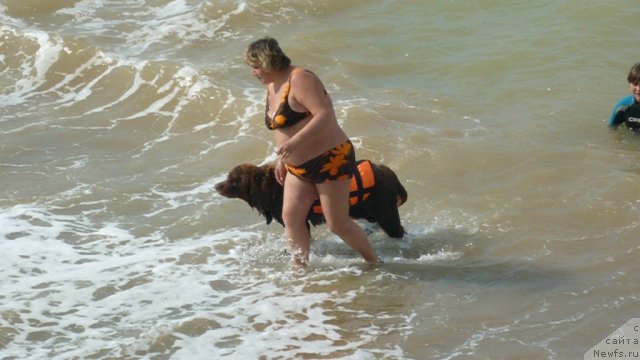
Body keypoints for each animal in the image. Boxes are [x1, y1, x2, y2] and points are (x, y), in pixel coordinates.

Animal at [212, 159, 408, 238]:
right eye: (228, 177)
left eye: (233, 180)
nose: (216, 186)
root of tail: (389, 173)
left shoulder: (296, 221)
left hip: (386, 214)